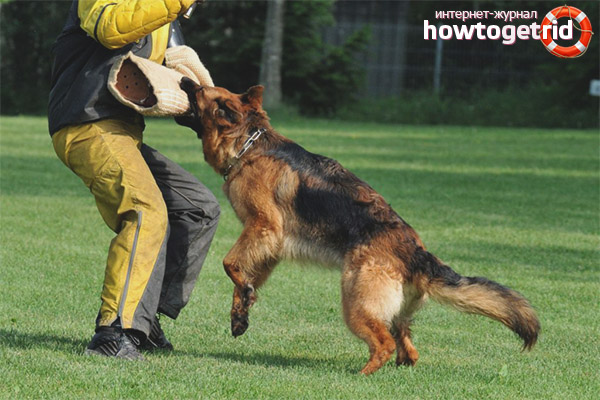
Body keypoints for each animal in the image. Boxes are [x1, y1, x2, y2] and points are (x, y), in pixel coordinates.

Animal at [178, 77, 540, 375]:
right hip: (392, 311)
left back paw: (363, 375)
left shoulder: (263, 227)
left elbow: (229, 264)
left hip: (355, 303)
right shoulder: (269, 245)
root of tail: (416, 253)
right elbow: (244, 279)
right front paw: (242, 310)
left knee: (384, 344)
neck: (249, 144)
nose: (182, 79)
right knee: (408, 348)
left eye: (200, 90)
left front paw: (243, 293)